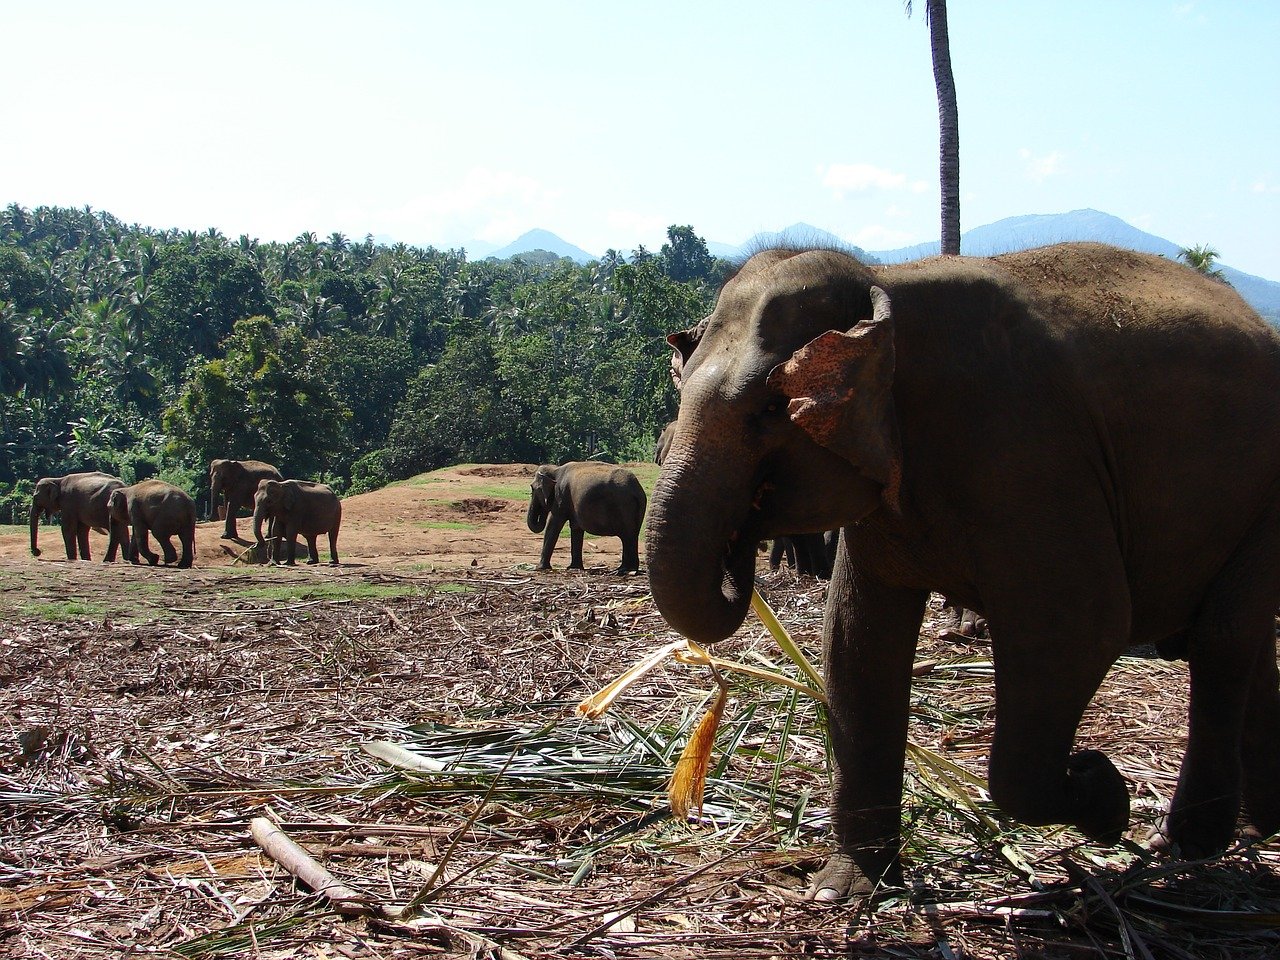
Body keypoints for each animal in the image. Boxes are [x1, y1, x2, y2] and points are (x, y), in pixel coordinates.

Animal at [645, 244, 1280, 906]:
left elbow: (1080, 630)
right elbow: (857, 641)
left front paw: (1104, 794)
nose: (743, 537)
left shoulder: (1027, 451)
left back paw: (1183, 845)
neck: (886, 286)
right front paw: (846, 890)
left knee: (1221, 641)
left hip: (1267, 495)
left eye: (771, 409)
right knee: (1244, 642)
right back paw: (1252, 830)